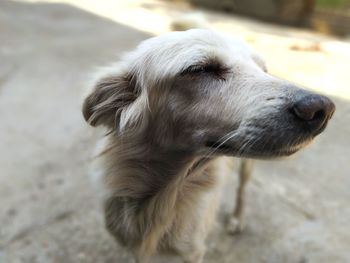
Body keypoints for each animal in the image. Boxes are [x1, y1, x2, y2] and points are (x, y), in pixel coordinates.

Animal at [81, 29, 334, 263]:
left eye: (263, 70)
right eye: (200, 69)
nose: (323, 109)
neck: (161, 197)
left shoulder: (193, 252)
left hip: (247, 167)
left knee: (242, 191)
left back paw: (237, 219)